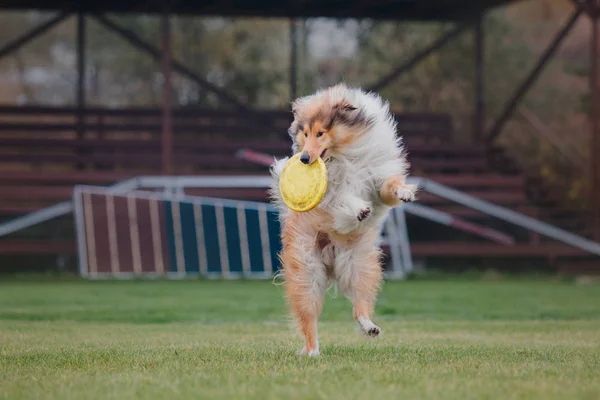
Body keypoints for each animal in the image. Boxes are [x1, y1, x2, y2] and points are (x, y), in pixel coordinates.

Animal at [268, 82, 414, 356]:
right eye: (305, 133)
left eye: (320, 133)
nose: (304, 159)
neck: (346, 155)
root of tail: (330, 260)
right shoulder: (331, 196)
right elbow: (344, 198)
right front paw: (360, 210)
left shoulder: (376, 178)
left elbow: (388, 187)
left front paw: (405, 192)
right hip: (307, 274)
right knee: (309, 319)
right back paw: (312, 351)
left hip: (360, 267)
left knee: (360, 304)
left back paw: (370, 327)